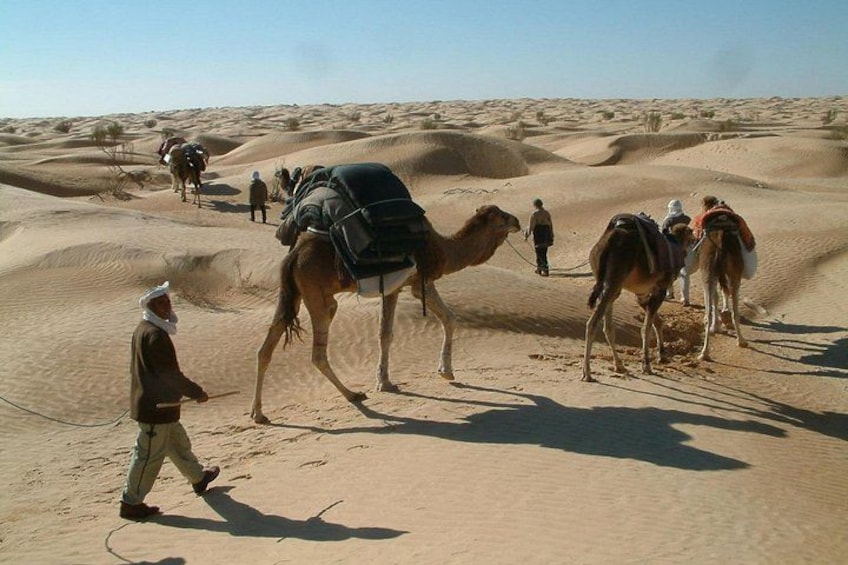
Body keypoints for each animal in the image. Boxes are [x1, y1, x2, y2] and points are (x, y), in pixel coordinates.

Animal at [251, 204, 521, 424]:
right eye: (501, 215)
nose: (518, 221)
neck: (444, 249)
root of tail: (294, 254)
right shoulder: (418, 282)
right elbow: (448, 319)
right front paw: (445, 371)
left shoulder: (394, 287)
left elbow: (385, 333)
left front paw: (385, 380)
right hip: (318, 295)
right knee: (317, 353)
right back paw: (353, 394)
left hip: (291, 293)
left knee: (266, 347)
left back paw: (259, 413)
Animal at [582, 214, 691, 382]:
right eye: (691, 233)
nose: (695, 238)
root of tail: (608, 241)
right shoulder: (660, 288)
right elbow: (646, 328)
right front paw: (646, 365)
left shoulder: (642, 294)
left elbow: (657, 322)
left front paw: (662, 355)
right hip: (614, 280)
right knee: (592, 324)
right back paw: (587, 372)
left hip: (610, 284)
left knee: (608, 327)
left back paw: (619, 365)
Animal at [696, 213, 748, 361]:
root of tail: (720, 239)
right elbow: (721, 294)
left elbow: (716, 297)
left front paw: (716, 327)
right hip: (733, 272)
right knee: (734, 307)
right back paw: (741, 341)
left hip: (707, 271)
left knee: (709, 309)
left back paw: (704, 353)